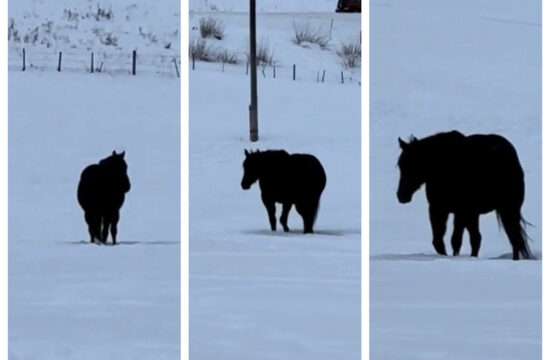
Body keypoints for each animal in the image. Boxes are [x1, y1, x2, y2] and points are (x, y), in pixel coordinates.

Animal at [398, 131, 532, 260]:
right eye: (400, 165)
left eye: (413, 164)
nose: (401, 195)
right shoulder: (439, 209)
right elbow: (439, 241)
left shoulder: (460, 211)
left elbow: (455, 240)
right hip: (487, 213)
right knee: (492, 238)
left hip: (505, 210)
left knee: (512, 238)